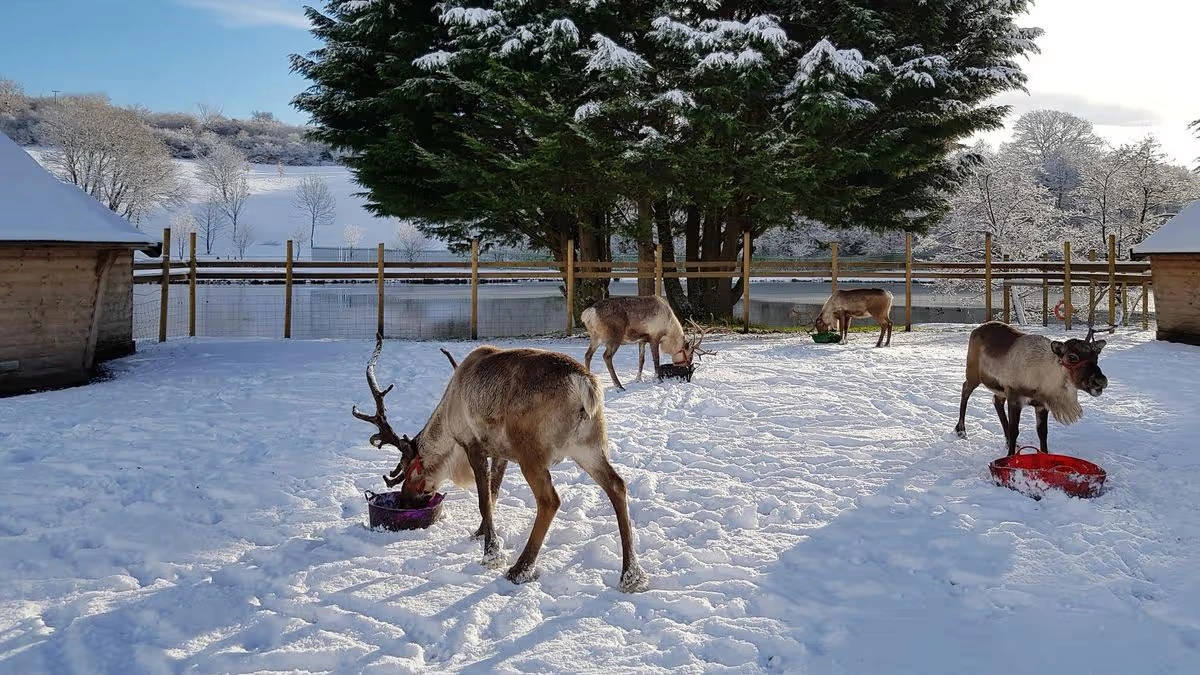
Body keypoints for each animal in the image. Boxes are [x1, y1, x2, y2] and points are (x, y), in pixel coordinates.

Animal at [352, 335, 650, 592]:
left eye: (409, 471)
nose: (403, 502)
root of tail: (584, 383)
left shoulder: (473, 445)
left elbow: (484, 499)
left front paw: (491, 553)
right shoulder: (501, 453)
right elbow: (493, 493)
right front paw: (481, 532)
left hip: (532, 454)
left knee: (550, 500)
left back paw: (520, 568)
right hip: (589, 447)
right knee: (617, 485)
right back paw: (631, 575)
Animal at [580, 295, 711, 390]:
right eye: (690, 355)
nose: (687, 367)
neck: (669, 331)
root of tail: (588, 313)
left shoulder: (642, 340)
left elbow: (641, 360)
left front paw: (638, 379)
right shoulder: (654, 337)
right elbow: (656, 359)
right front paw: (658, 379)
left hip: (595, 337)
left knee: (588, 355)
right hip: (614, 338)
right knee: (606, 356)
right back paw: (619, 386)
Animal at [954, 321, 1109, 456]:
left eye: (1096, 356)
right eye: (1072, 357)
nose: (1101, 381)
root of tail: (976, 329)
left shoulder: (1041, 405)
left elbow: (1042, 433)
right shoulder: (1015, 398)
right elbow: (1014, 431)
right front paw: (1010, 457)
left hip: (1000, 389)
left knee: (996, 401)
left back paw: (1007, 441)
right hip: (973, 374)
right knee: (965, 390)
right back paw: (961, 430)